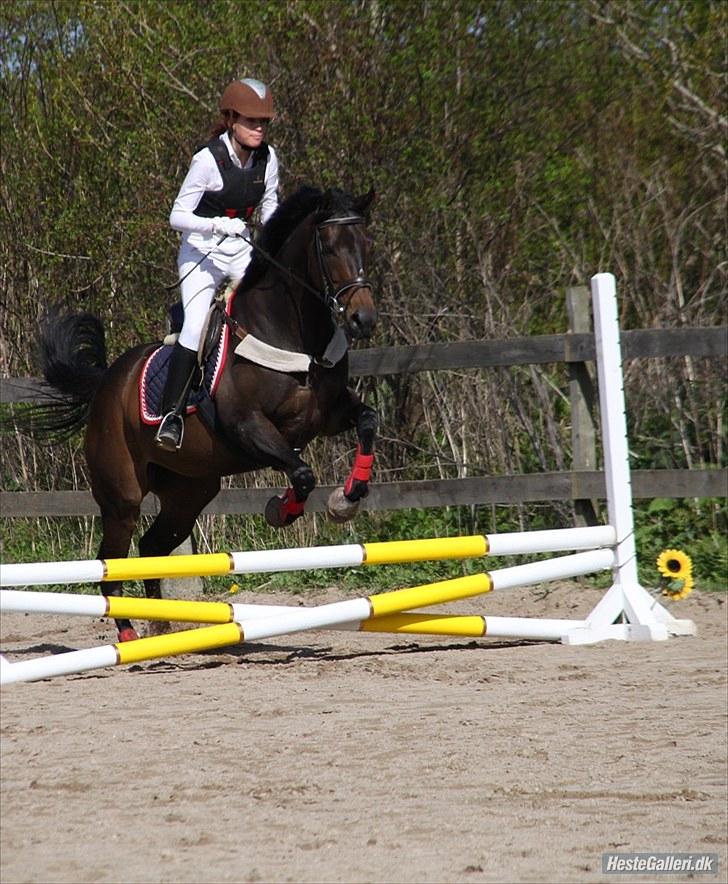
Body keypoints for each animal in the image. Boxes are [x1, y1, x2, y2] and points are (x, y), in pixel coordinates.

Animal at [26, 188, 378, 644]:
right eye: (330, 247)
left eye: (367, 244)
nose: (362, 319)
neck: (292, 336)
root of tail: (106, 383)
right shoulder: (248, 427)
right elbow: (302, 473)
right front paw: (282, 510)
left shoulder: (329, 416)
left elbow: (367, 422)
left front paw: (346, 500)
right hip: (122, 497)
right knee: (112, 561)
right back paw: (128, 634)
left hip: (190, 491)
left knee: (152, 548)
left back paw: (162, 627)